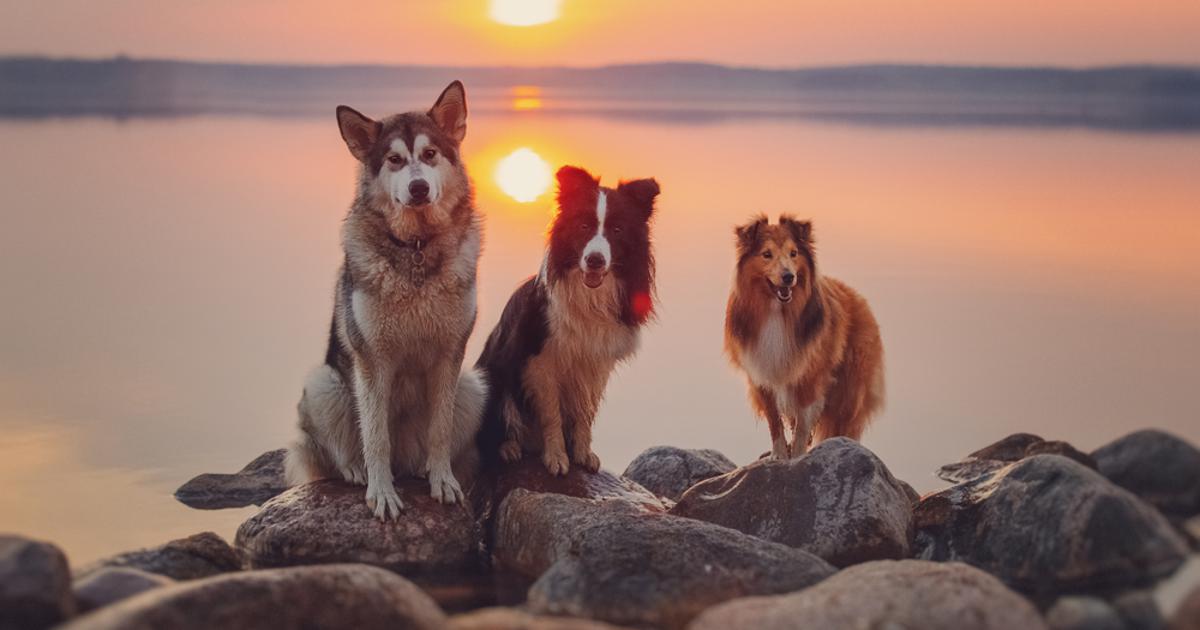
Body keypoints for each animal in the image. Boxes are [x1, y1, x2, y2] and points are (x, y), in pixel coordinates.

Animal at [283, 81, 484, 518]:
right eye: (394, 160)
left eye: (429, 154)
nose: (418, 187)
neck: (416, 248)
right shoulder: (373, 358)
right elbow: (374, 435)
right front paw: (381, 492)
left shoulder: (450, 353)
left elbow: (440, 431)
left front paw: (443, 481)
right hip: (324, 383)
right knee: (340, 450)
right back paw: (355, 470)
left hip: (473, 387)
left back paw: (423, 469)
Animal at [477, 164, 662, 475]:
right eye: (584, 226)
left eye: (617, 230)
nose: (595, 260)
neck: (590, 298)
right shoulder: (540, 359)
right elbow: (551, 413)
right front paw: (556, 457)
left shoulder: (596, 363)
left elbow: (586, 412)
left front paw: (583, 453)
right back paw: (509, 448)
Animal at [720, 214, 883, 456]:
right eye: (766, 254)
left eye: (793, 253)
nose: (789, 277)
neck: (776, 311)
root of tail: (857, 297)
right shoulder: (762, 373)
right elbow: (775, 421)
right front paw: (779, 454)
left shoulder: (809, 375)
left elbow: (803, 425)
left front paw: (796, 455)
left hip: (850, 389)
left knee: (842, 423)